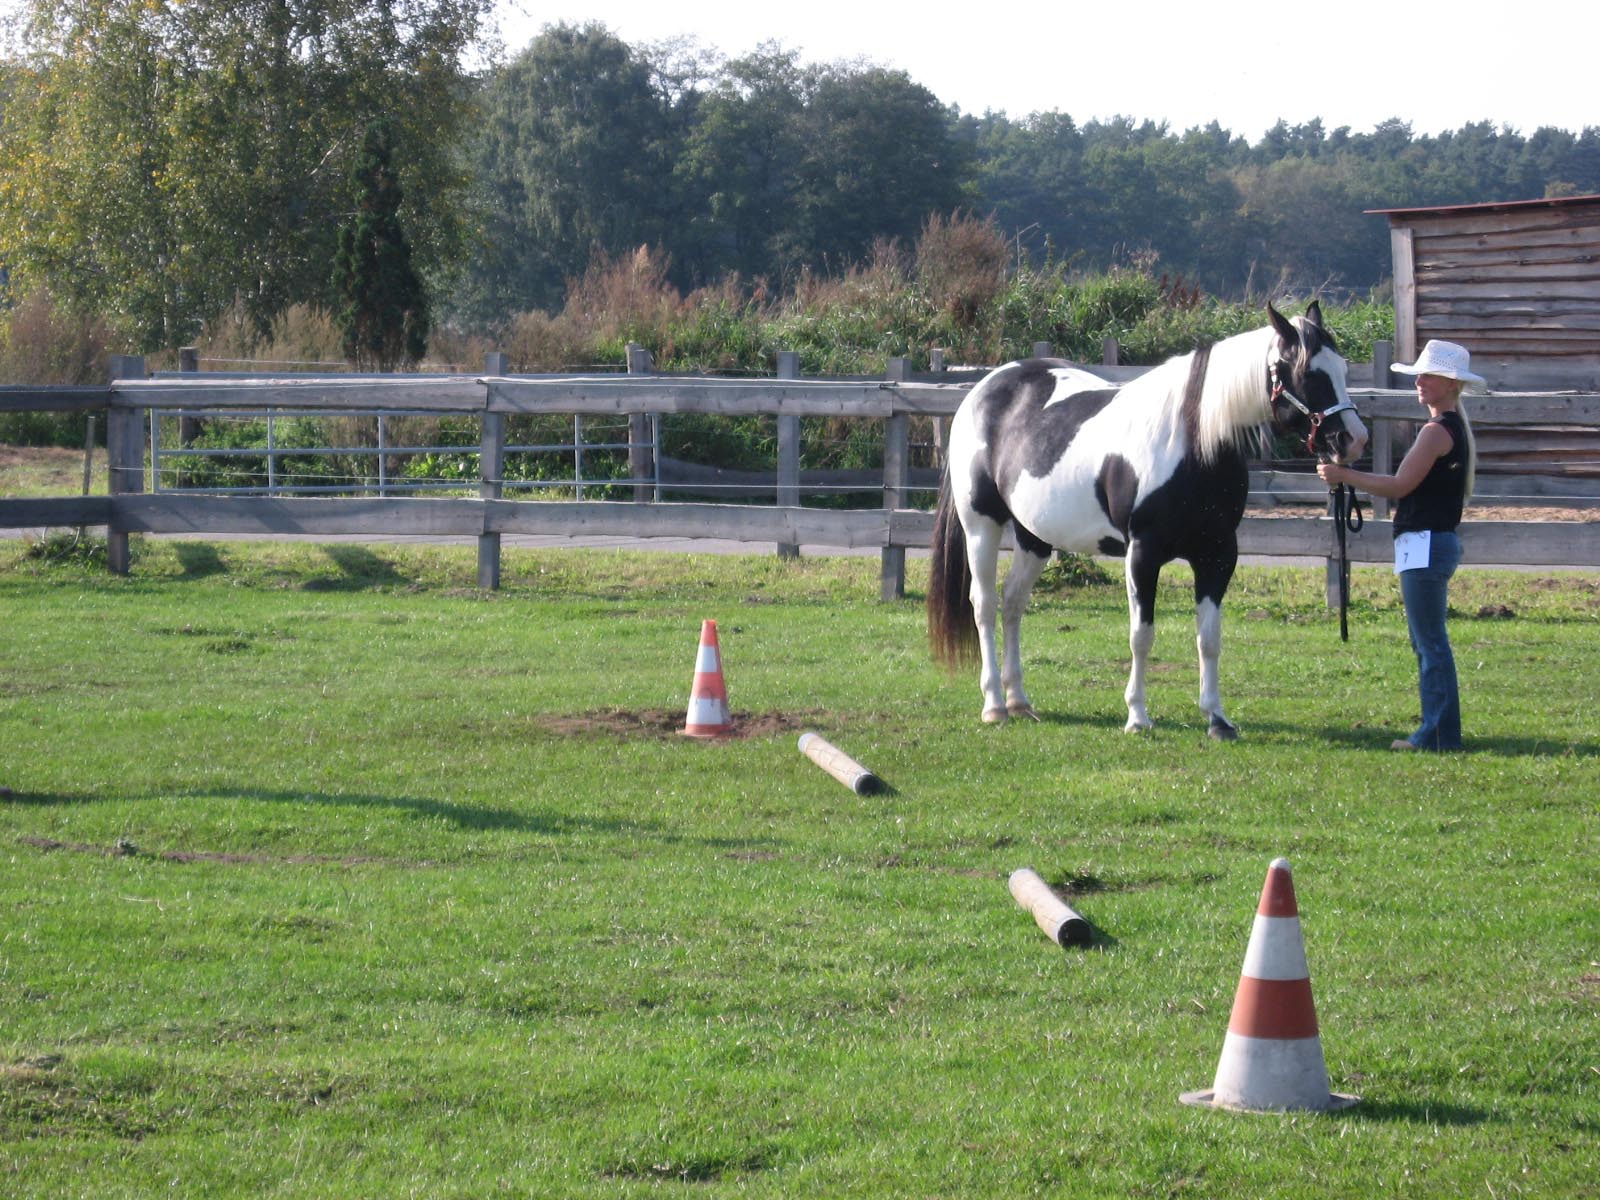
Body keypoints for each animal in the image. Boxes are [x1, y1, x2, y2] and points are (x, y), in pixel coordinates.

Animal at [926, 301, 1368, 738]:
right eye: (1309, 373)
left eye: (1343, 369)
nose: (1353, 440)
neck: (1192, 446)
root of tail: (983, 390)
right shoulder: (1142, 553)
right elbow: (1141, 635)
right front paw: (1137, 716)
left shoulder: (1219, 554)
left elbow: (1209, 638)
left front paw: (1217, 718)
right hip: (981, 526)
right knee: (984, 605)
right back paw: (994, 705)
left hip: (1034, 537)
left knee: (1013, 602)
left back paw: (1019, 700)